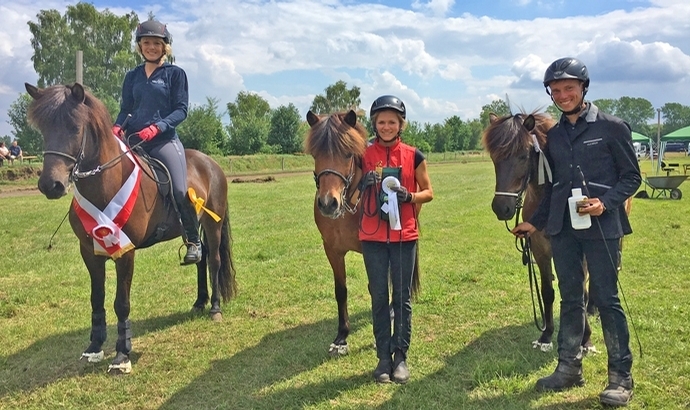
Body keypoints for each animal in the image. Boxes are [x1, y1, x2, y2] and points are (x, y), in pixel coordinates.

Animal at [24, 83, 236, 374]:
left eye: (74, 128)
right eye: (43, 129)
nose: (50, 185)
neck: (106, 181)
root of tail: (211, 163)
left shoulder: (125, 252)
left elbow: (121, 303)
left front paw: (122, 356)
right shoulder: (89, 251)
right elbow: (97, 297)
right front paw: (94, 347)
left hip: (213, 223)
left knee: (213, 260)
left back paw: (214, 308)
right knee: (200, 257)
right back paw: (199, 302)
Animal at [306, 109, 420, 356]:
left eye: (348, 153)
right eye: (315, 154)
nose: (328, 203)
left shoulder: (373, 249)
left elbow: (377, 287)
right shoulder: (332, 251)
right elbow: (341, 290)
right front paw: (341, 337)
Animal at [482, 112, 592, 352]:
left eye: (523, 156)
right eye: (494, 158)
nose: (501, 208)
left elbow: (581, 291)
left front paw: (586, 339)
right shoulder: (540, 251)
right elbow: (547, 292)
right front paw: (546, 335)